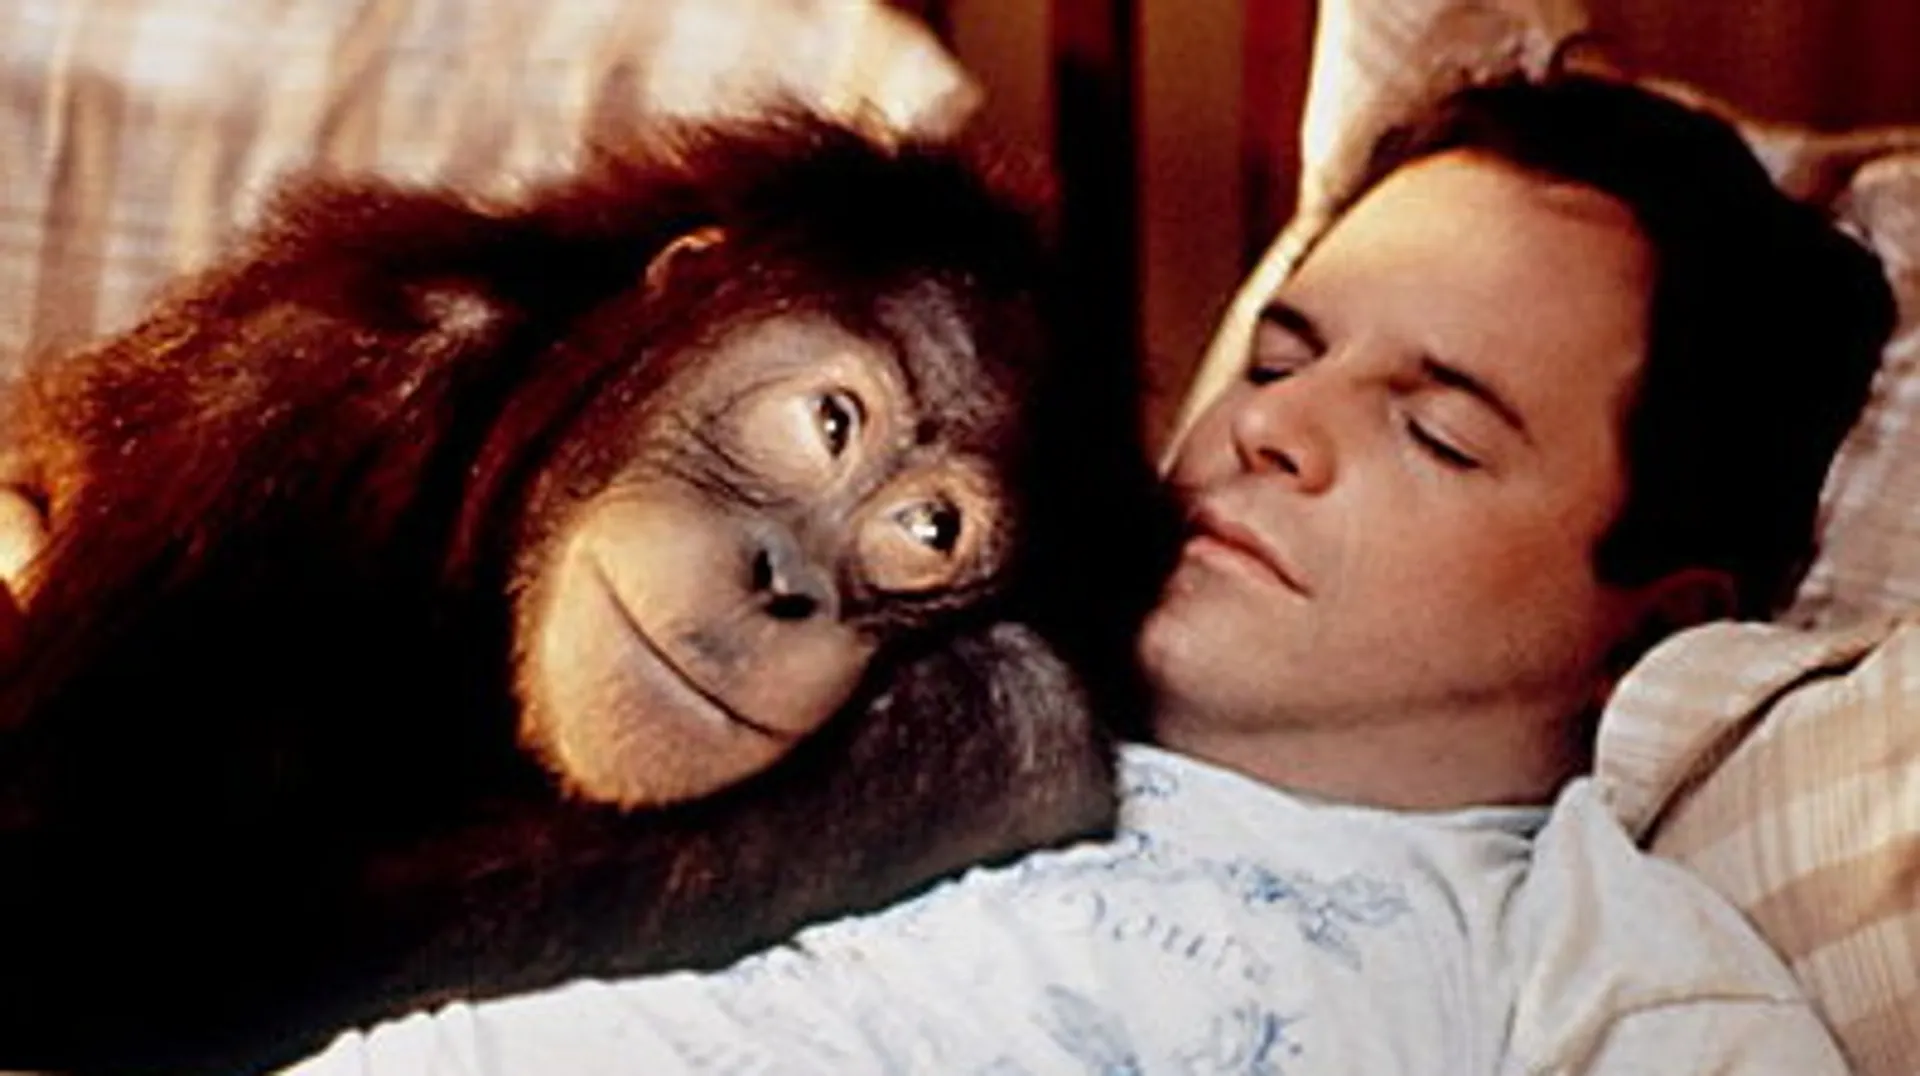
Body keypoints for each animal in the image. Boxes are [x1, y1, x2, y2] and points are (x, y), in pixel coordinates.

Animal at [0, 111, 1173, 1075]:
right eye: (831, 421)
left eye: (931, 532)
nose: (785, 585)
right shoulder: (292, 381)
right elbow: (85, 916)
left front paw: (975, 720)